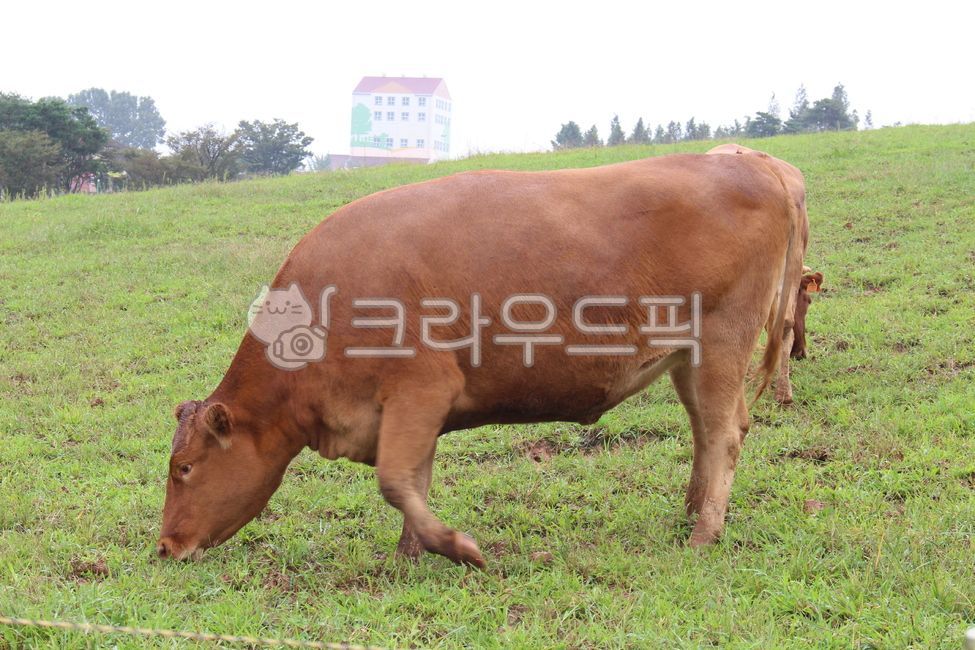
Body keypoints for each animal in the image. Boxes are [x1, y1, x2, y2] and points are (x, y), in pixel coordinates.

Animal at [157, 151, 805, 567]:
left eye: (184, 468)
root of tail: (756, 164)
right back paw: (690, 512)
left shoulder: (422, 389)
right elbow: (413, 481)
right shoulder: (409, 411)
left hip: (722, 342)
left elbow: (396, 481)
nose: (164, 546)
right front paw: (409, 556)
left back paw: (704, 533)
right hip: (687, 360)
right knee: (706, 431)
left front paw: (458, 549)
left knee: (724, 433)